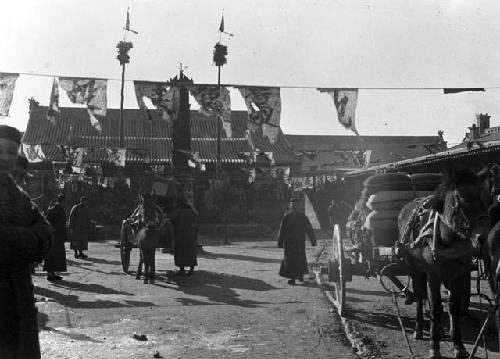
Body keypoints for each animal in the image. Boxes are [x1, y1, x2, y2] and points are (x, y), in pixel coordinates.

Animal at [398, 169, 492, 359]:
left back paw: (440, 330)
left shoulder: (459, 274)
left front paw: (458, 346)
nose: (484, 239)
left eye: (487, 199)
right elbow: (435, 308)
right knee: (420, 296)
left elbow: (453, 308)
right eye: (465, 199)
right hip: (414, 268)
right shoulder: (432, 274)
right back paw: (419, 329)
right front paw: (434, 347)